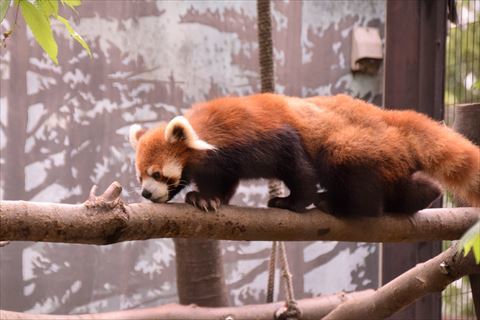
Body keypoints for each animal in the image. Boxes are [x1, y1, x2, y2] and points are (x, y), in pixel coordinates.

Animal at [128, 94, 480, 216]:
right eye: (140, 176)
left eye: (157, 174)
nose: (145, 193)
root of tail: (389, 117)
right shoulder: (220, 164)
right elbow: (221, 183)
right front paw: (205, 198)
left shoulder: (268, 135)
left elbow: (300, 170)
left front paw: (293, 202)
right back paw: (419, 197)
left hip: (355, 144)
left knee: (347, 170)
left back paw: (340, 206)